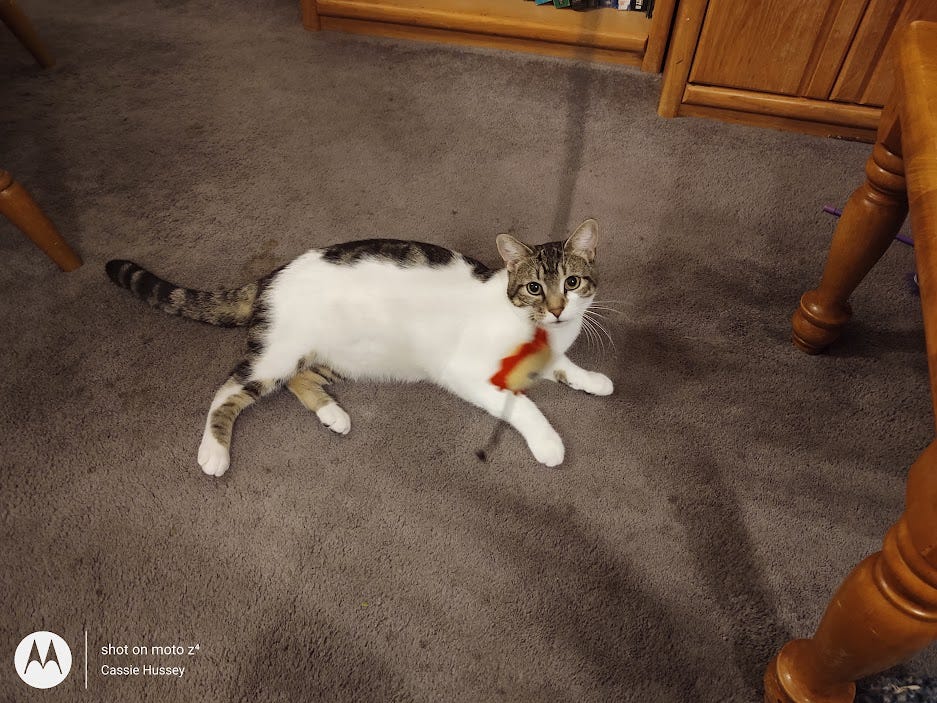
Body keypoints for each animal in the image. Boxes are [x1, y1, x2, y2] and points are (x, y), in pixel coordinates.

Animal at [104, 217, 616, 476]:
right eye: (534, 288)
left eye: (572, 283)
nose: (557, 309)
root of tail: (270, 276)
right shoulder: (467, 372)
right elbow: (522, 404)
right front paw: (548, 443)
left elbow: (564, 366)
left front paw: (593, 380)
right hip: (275, 354)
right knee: (228, 388)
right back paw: (214, 453)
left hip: (340, 356)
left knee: (299, 379)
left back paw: (333, 414)